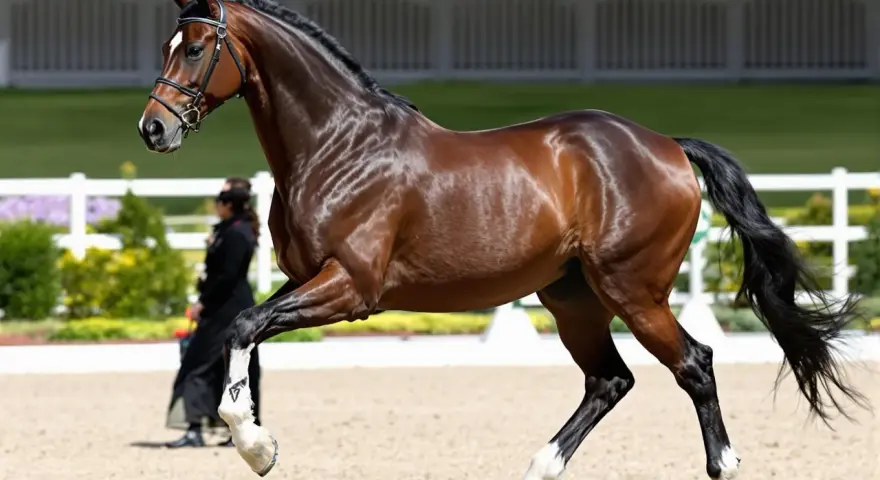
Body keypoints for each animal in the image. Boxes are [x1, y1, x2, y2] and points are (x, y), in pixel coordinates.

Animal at [137, 0, 868, 478]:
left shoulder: (351, 289)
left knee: (694, 364)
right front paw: (255, 439)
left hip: (633, 291)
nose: (154, 128)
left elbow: (239, 327)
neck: (339, 145)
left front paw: (256, 447)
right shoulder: (306, 278)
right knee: (610, 379)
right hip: (572, 298)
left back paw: (721, 464)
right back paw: (540, 465)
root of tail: (667, 145)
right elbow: (244, 329)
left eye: (195, 47)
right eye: (169, 45)